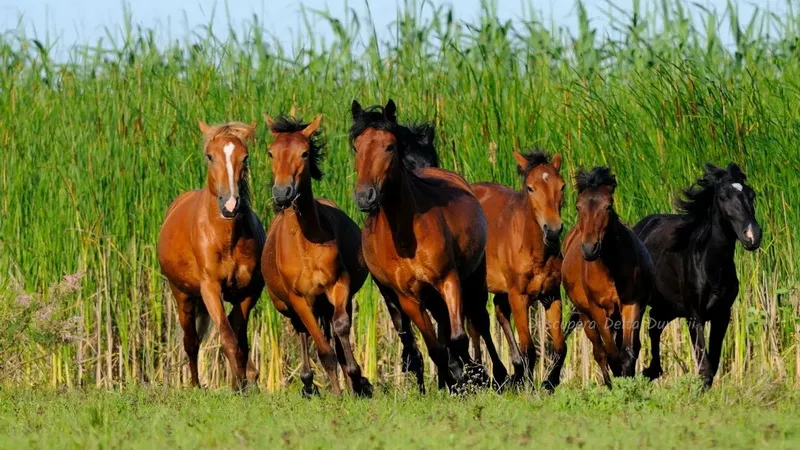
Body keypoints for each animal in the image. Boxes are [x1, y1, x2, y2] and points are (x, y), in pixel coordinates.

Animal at [157, 119, 266, 390]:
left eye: (245, 157)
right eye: (210, 156)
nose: (230, 205)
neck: (226, 239)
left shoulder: (247, 292)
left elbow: (240, 339)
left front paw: (244, 381)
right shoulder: (210, 289)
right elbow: (227, 338)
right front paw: (237, 385)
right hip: (183, 296)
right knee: (191, 342)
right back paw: (196, 385)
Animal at [262, 113, 376, 398]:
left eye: (304, 153)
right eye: (271, 153)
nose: (282, 193)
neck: (305, 245)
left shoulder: (338, 285)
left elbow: (341, 327)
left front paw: (357, 379)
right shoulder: (299, 299)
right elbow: (322, 348)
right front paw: (336, 391)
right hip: (290, 307)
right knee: (303, 332)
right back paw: (307, 383)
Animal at [350, 98, 506, 390]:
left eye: (389, 146)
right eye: (356, 147)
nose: (365, 196)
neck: (405, 236)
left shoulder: (449, 280)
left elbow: (458, 338)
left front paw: (472, 376)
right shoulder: (408, 298)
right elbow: (436, 348)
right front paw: (454, 380)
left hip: (473, 278)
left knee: (480, 321)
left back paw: (499, 374)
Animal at [472, 150, 564, 390]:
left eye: (562, 186)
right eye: (530, 188)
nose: (553, 230)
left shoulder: (552, 295)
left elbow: (560, 347)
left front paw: (549, 382)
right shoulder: (519, 297)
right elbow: (529, 350)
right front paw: (530, 387)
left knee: (498, 311)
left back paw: (513, 371)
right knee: (478, 321)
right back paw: (491, 373)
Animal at [560, 165, 652, 386]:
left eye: (608, 206)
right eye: (578, 207)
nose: (589, 249)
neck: (611, 270)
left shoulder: (630, 305)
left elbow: (627, 352)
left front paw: (628, 383)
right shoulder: (598, 310)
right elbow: (610, 353)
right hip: (586, 316)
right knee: (599, 352)